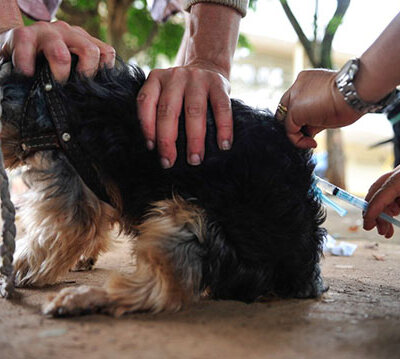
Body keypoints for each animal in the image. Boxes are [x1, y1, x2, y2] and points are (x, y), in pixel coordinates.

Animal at [0, 57, 326, 318]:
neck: (38, 95)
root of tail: (304, 271)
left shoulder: (72, 187)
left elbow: (54, 236)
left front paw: (15, 270)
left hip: (190, 219)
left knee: (160, 290)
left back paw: (84, 300)